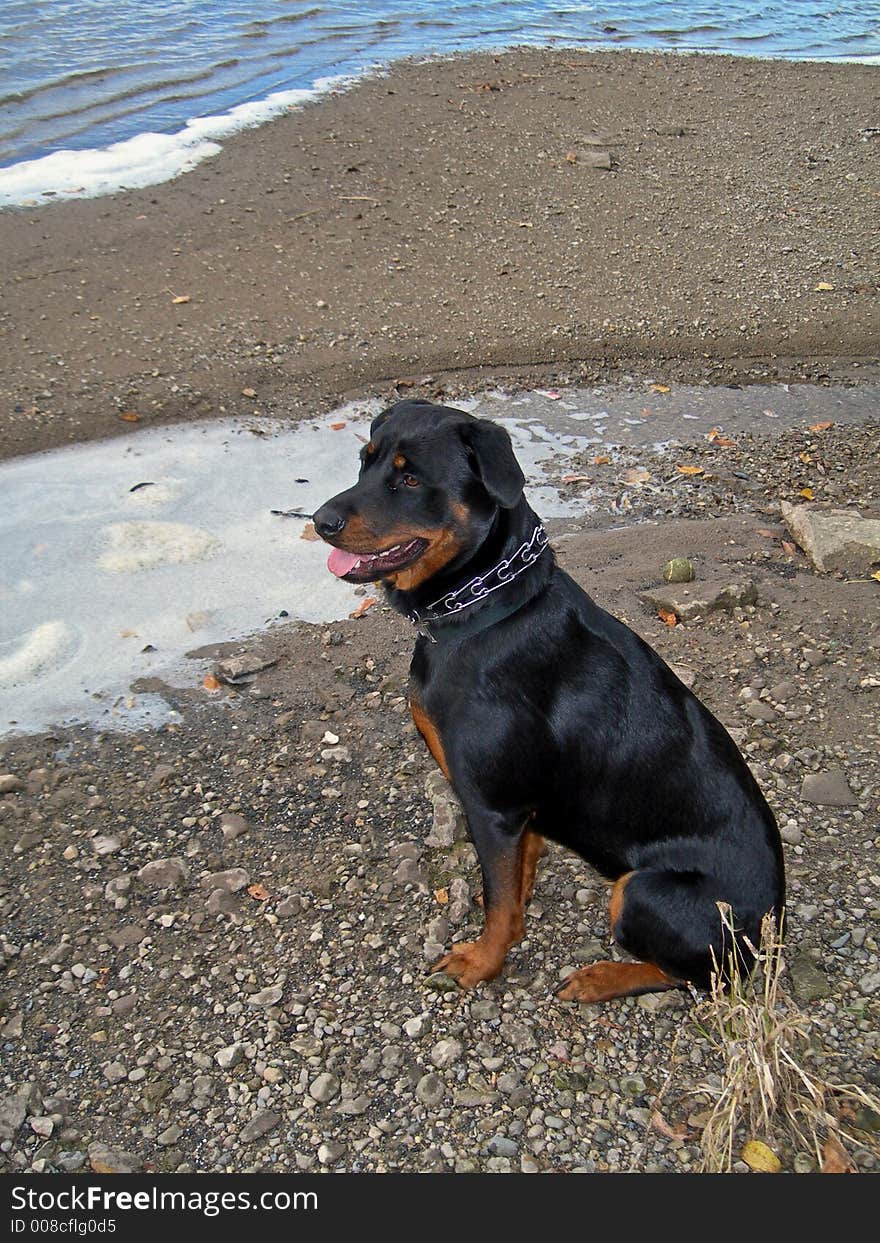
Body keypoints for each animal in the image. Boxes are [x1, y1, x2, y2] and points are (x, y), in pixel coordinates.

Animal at [315, 402, 785, 1004]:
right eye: (364, 462)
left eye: (411, 479)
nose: (319, 521)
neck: (481, 607)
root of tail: (772, 929)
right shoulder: (521, 806)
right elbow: (515, 874)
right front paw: (520, 898)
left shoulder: (491, 803)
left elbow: (498, 904)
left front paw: (483, 961)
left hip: (643, 891)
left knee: (698, 975)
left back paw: (600, 977)